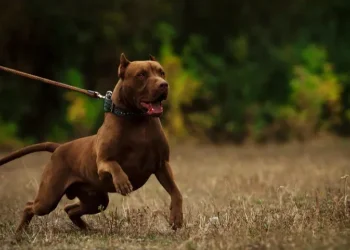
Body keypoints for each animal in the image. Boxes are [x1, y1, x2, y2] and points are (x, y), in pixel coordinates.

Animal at [0, 53, 185, 233]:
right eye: (141, 75)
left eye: (161, 73)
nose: (164, 85)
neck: (138, 120)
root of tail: (59, 147)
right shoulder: (102, 163)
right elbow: (114, 165)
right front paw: (122, 182)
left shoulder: (162, 165)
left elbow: (176, 192)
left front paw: (176, 218)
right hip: (49, 198)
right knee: (30, 206)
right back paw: (19, 233)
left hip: (96, 200)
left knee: (70, 209)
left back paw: (87, 229)